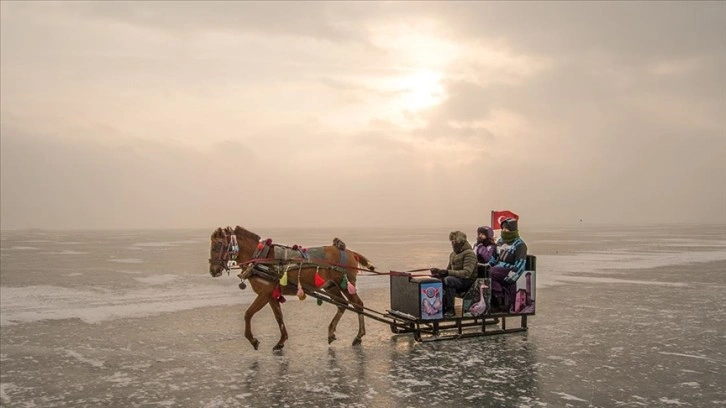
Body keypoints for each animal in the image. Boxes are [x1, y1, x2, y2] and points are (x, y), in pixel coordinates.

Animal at [206, 226, 372, 350]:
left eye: (216, 246)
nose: (213, 270)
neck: (260, 257)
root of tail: (350, 252)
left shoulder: (264, 294)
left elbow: (248, 314)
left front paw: (253, 340)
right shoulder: (271, 295)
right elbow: (279, 316)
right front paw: (281, 341)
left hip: (346, 284)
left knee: (358, 305)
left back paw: (358, 336)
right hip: (331, 286)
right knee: (342, 304)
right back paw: (331, 332)